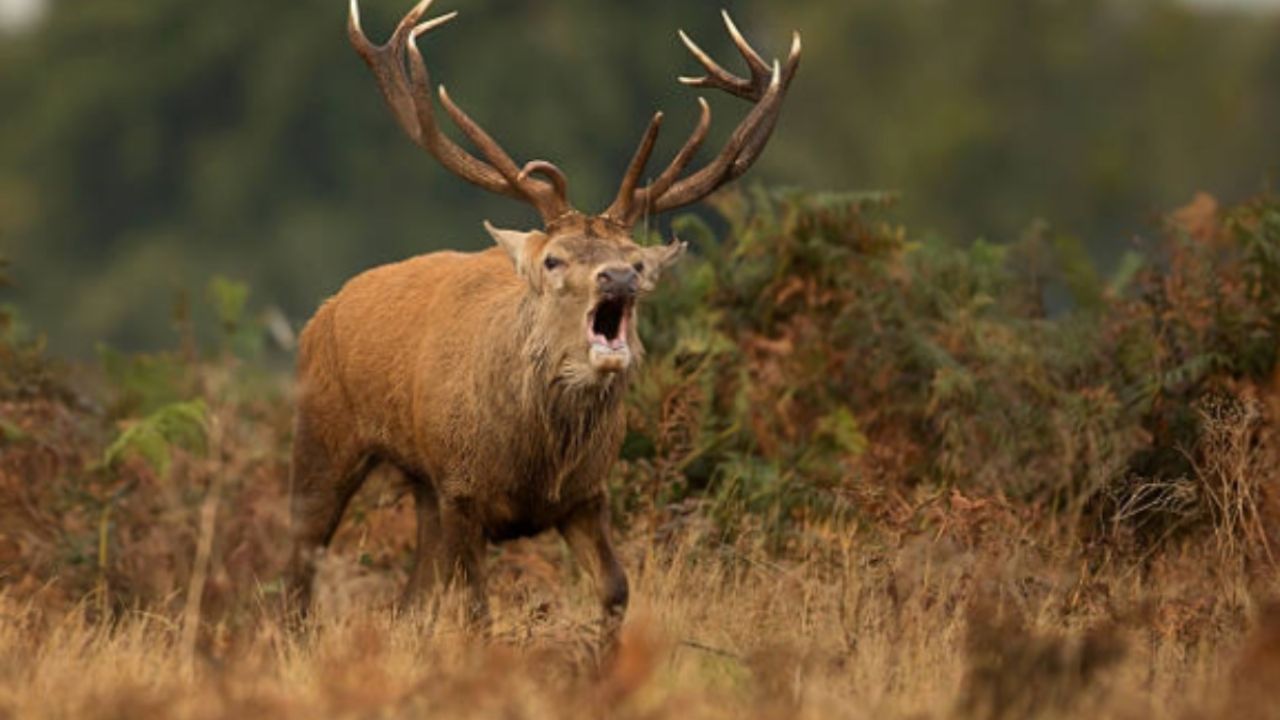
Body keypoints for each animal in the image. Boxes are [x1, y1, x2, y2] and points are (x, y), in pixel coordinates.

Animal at [288, 0, 798, 638]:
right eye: (554, 259)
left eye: (637, 260)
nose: (619, 278)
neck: (534, 464)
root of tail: (324, 310)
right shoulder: (463, 489)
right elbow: (476, 610)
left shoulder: (585, 494)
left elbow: (616, 589)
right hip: (324, 434)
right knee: (299, 558)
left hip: (424, 487)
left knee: (409, 595)